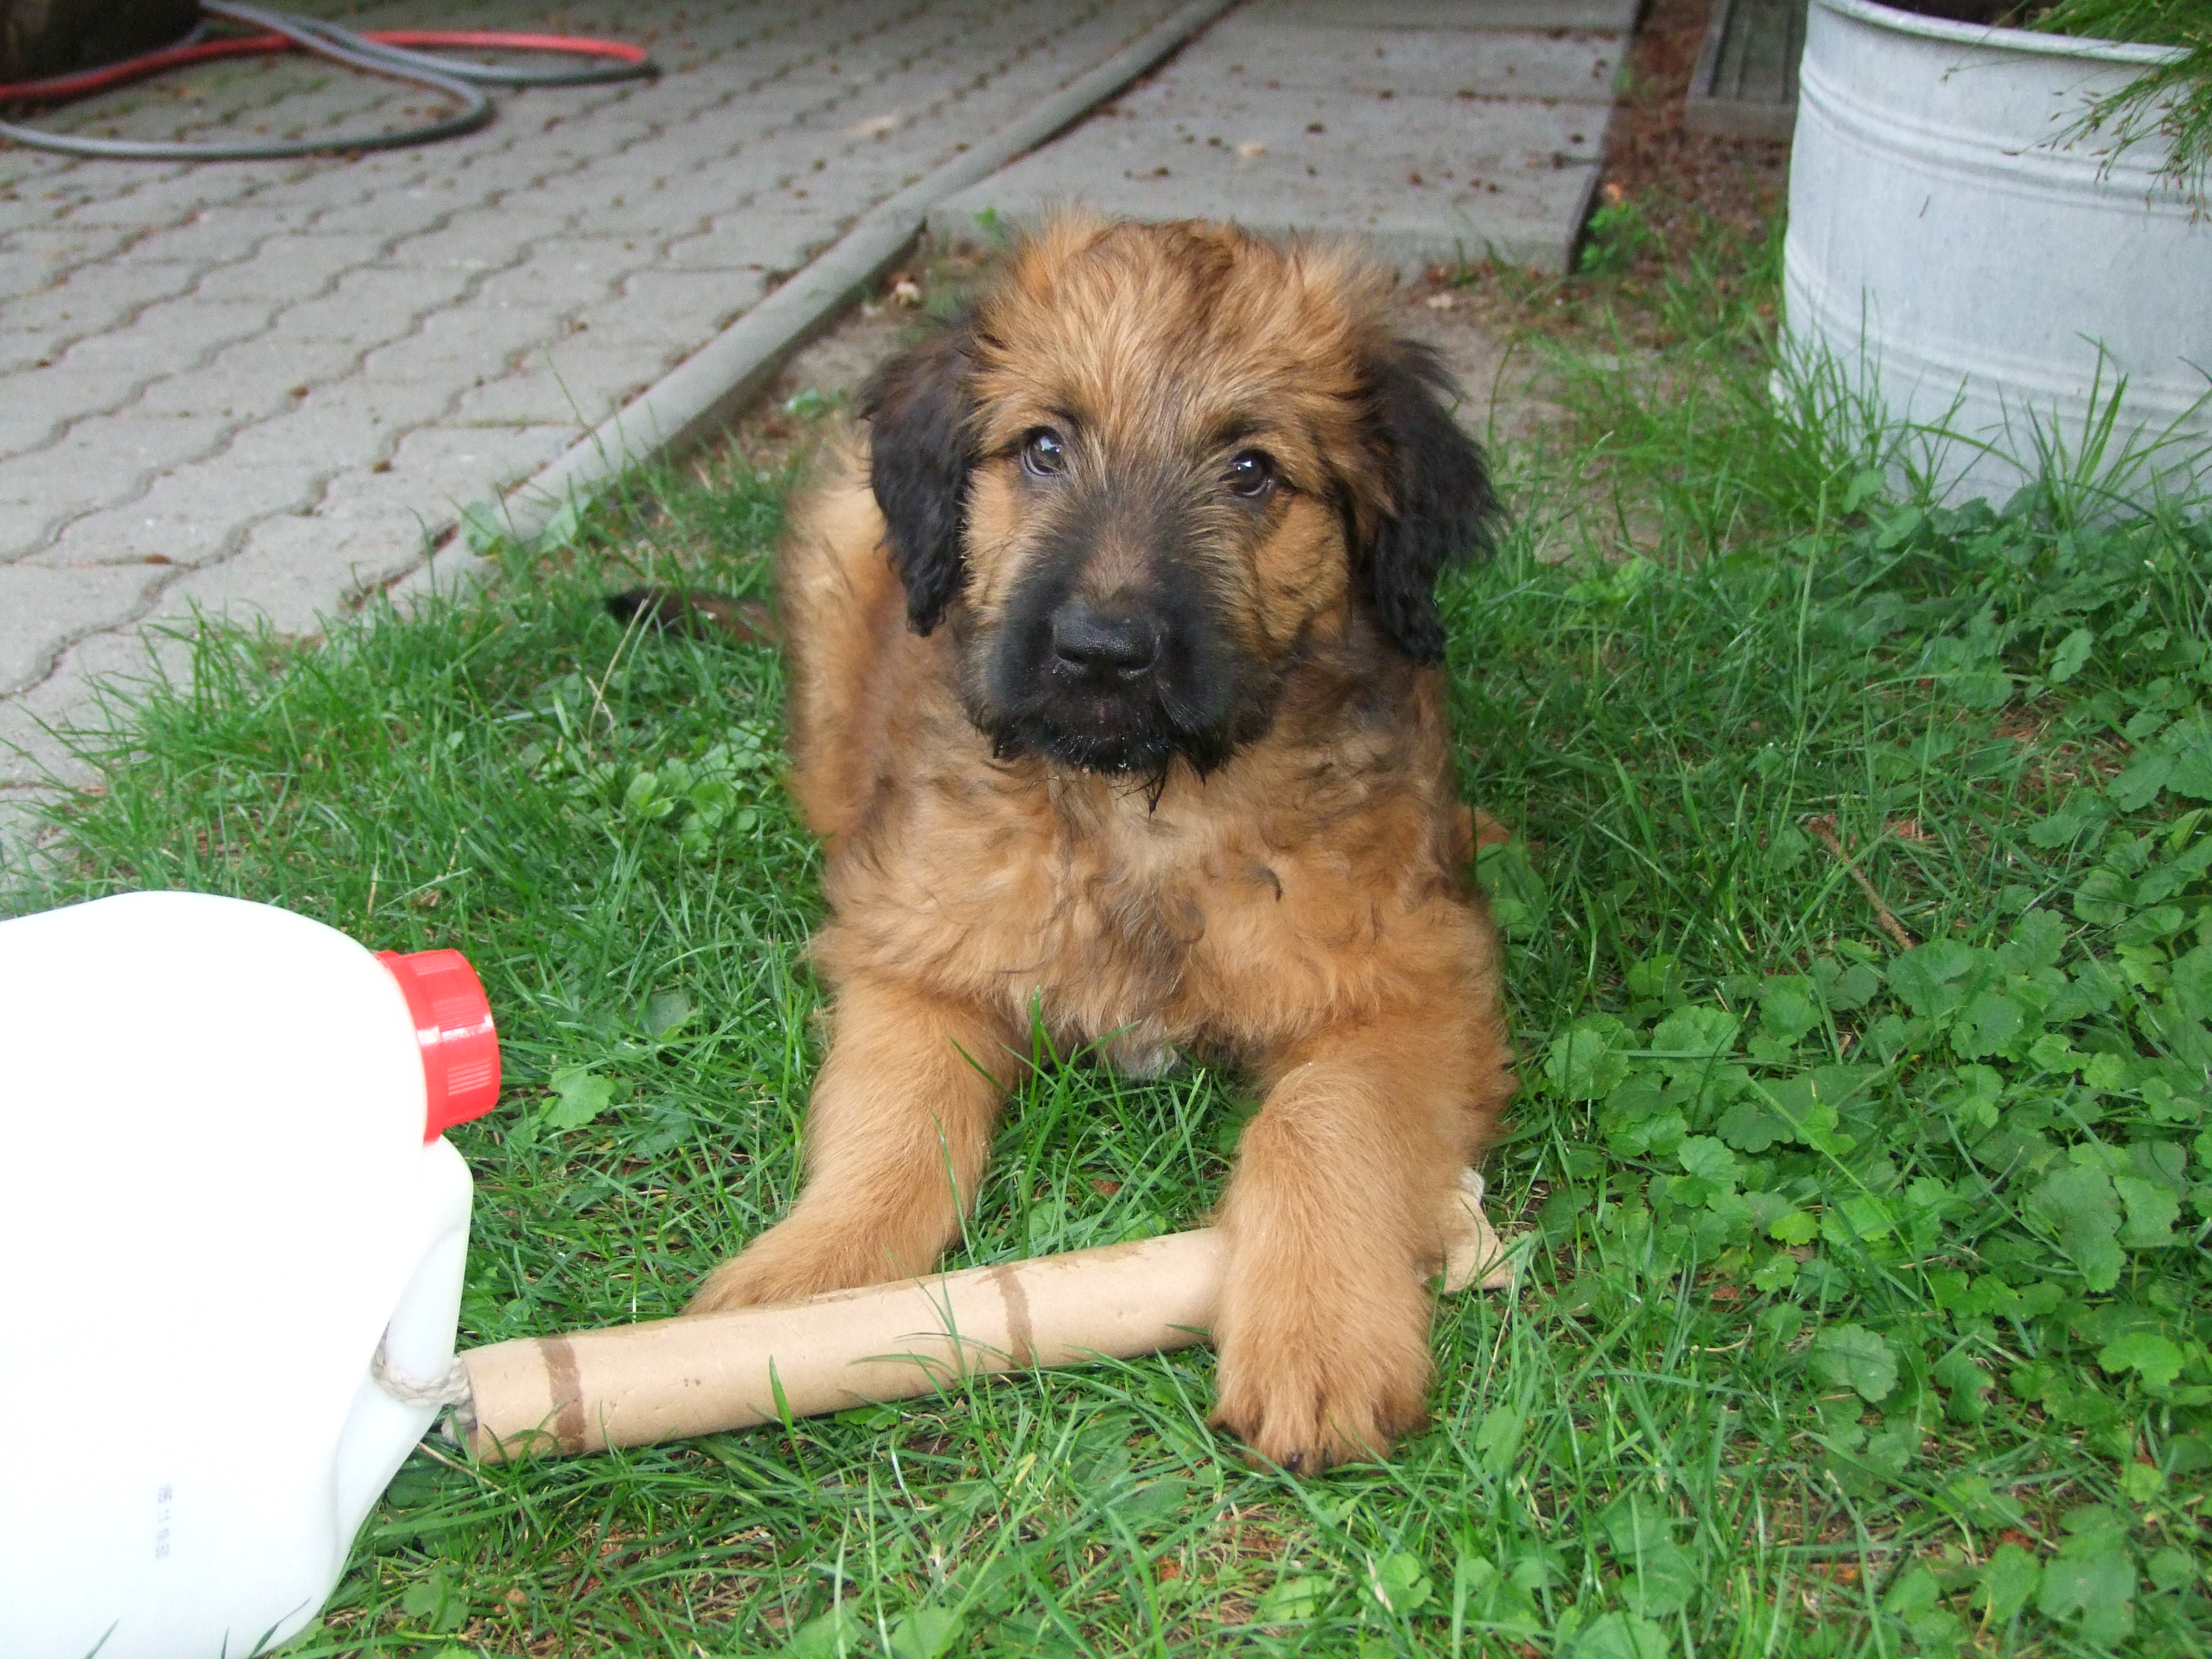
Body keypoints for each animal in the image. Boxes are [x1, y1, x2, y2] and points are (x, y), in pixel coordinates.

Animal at [661, 217, 1517, 1470]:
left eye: (1252, 470)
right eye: (1045, 447)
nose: (1102, 649)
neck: (1138, 808)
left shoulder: (1410, 981)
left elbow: (1323, 1124)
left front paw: (1320, 1341)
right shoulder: (922, 949)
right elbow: (891, 1122)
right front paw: (806, 1285)